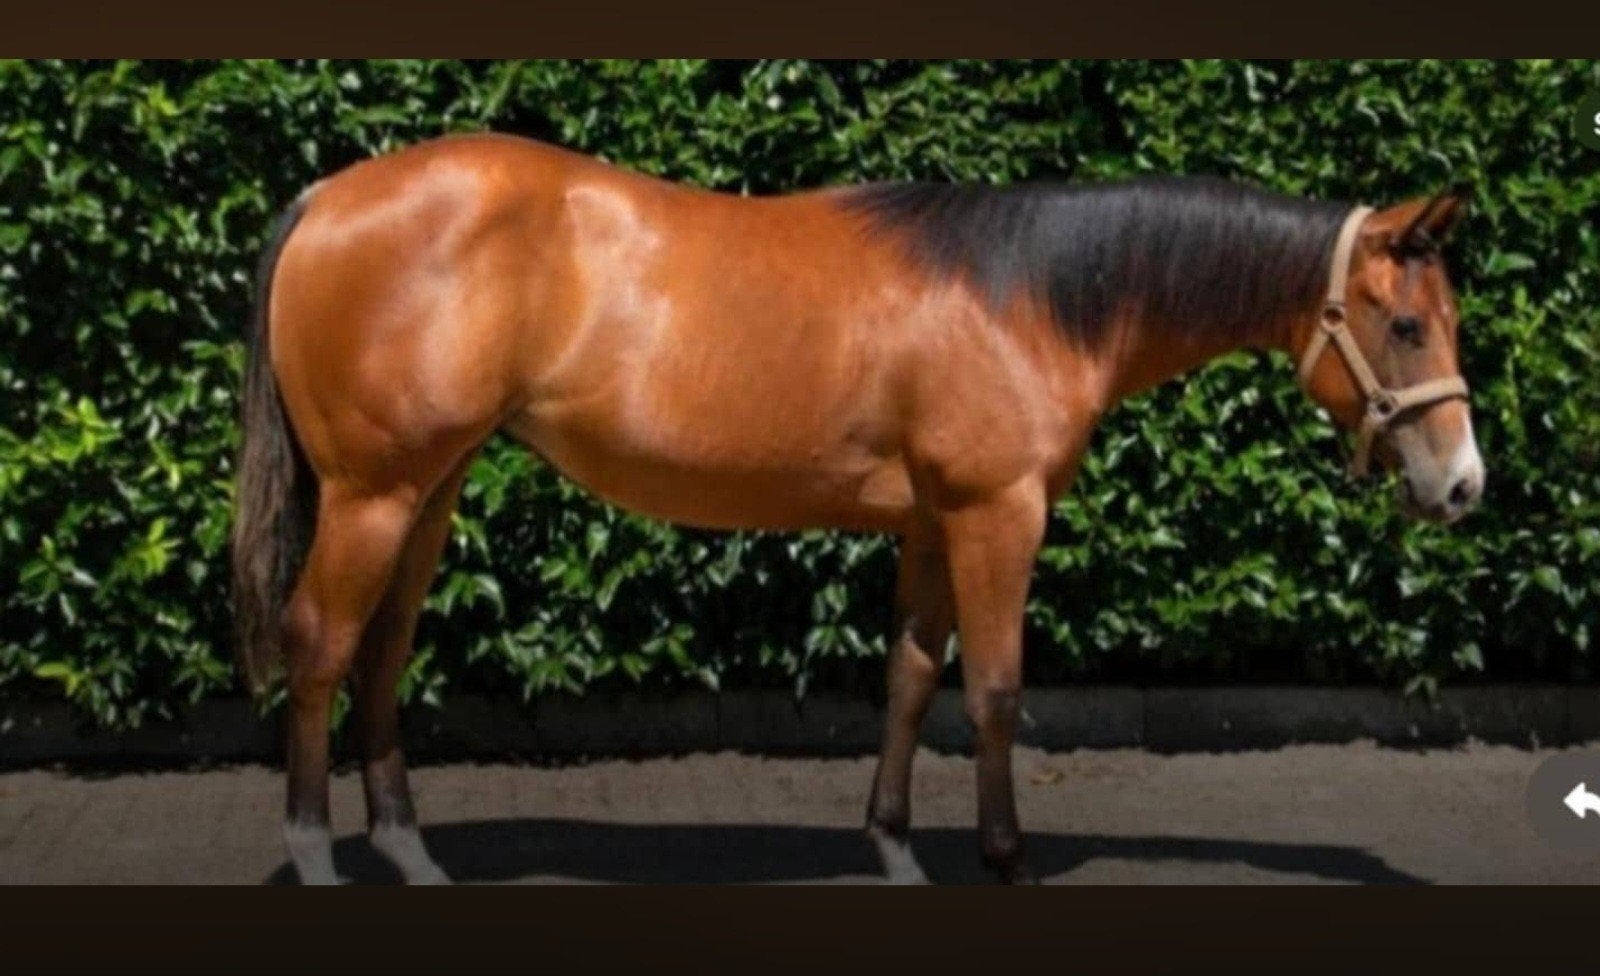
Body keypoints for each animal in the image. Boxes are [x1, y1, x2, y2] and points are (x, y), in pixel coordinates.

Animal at [231, 133, 1482, 884]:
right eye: (1405, 324)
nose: (1463, 484)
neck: (1033, 298)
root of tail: (326, 196)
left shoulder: (931, 521)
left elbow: (910, 678)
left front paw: (893, 845)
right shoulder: (994, 515)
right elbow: (993, 689)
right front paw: (1003, 856)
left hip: (427, 492)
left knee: (384, 650)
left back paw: (408, 851)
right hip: (375, 494)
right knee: (321, 643)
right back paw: (315, 850)